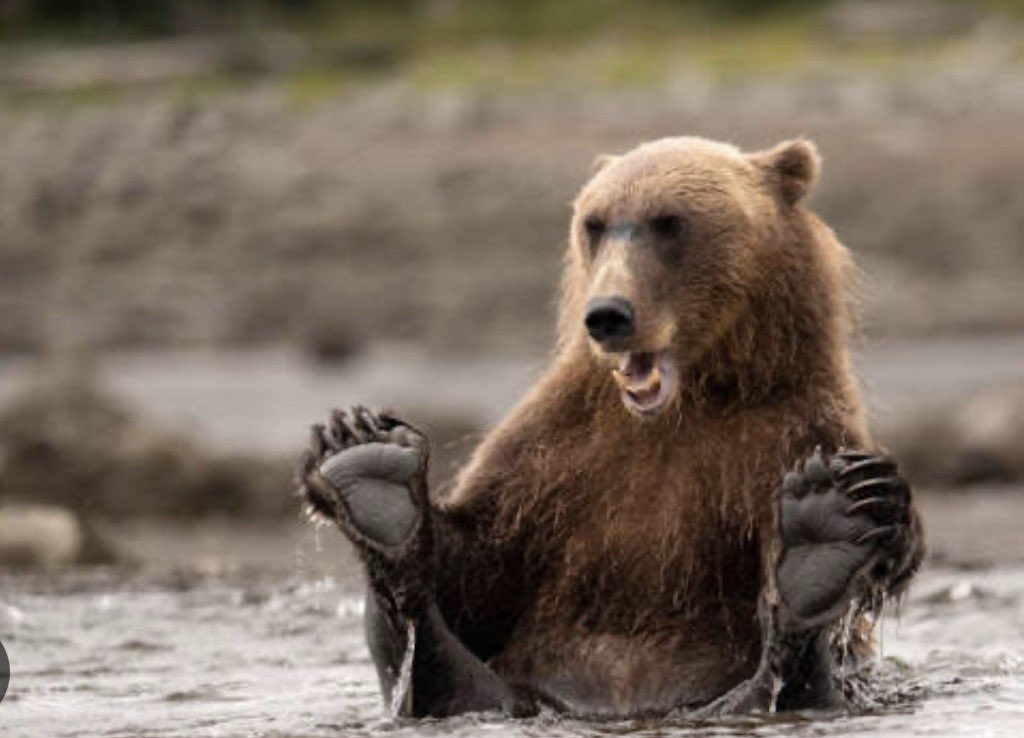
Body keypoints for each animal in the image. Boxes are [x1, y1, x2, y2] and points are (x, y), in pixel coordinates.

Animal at [299, 135, 924, 719]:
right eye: (594, 223)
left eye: (670, 222)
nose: (608, 314)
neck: (684, 405)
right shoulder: (560, 452)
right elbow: (481, 561)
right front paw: (359, 439)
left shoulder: (789, 434)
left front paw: (851, 500)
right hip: (511, 688)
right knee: (422, 654)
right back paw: (370, 473)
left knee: (801, 675)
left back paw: (822, 537)